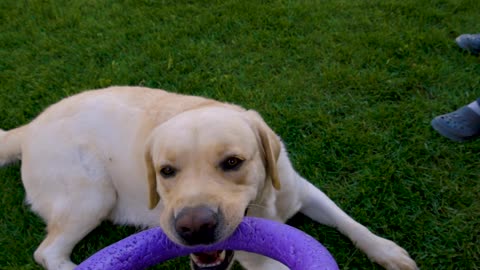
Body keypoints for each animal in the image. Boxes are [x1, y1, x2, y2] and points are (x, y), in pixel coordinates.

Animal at [0, 87, 416, 270]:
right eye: (166, 171)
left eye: (232, 162)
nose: (194, 228)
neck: (264, 206)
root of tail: (28, 128)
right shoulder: (253, 255)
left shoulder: (303, 191)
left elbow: (350, 222)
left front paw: (387, 251)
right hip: (91, 195)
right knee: (47, 252)